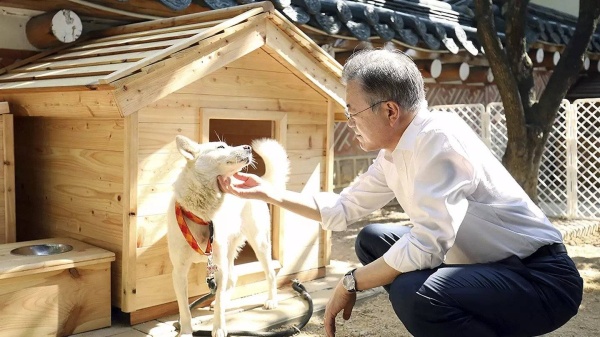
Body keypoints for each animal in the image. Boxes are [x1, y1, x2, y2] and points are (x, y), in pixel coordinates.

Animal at [166, 135, 288, 336]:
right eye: (221, 147)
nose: (248, 147)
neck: (202, 215)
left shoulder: (218, 267)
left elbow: (219, 307)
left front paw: (219, 328)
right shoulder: (179, 272)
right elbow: (184, 309)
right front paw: (185, 331)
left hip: (259, 243)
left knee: (270, 273)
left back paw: (272, 300)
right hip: (230, 250)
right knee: (233, 278)